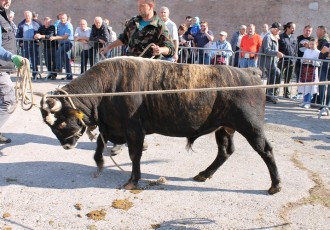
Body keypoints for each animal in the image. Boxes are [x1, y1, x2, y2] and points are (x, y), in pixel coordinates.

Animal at [39, 56, 282, 194]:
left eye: (60, 123)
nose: (66, 145)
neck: (108, 87)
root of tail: (250, 72)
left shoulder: (134, 130)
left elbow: (134, 155)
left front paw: (132, 180)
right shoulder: (112, 128)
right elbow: (100, 144)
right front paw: (99, 162)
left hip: (251, 126)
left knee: (266, 150)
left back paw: (275, 185)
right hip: (224, 128)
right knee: (225, 151)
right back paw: (204, 174)